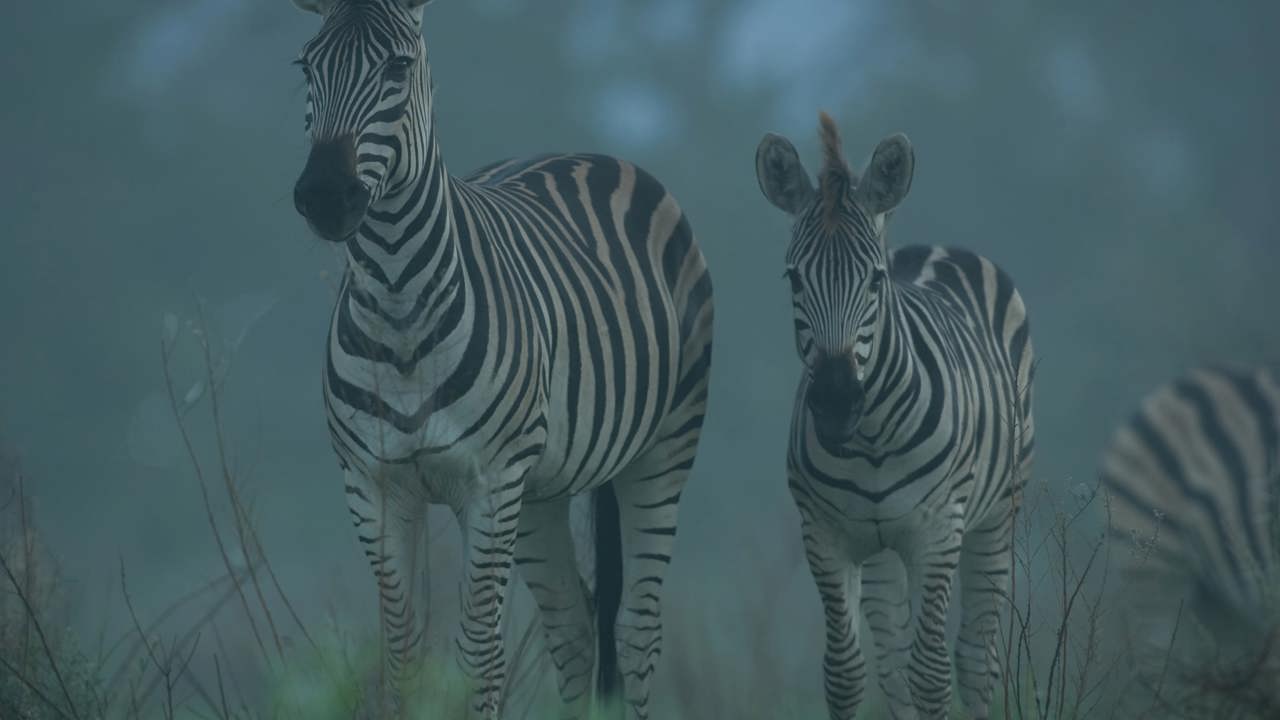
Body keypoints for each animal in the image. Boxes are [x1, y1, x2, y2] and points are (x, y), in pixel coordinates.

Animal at [287, 1, 714, 717]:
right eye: (305, 67)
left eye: (397, 67)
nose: (323, 195)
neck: (399, 309)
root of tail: (587, 152)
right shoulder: (372, 486)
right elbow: (402, 658)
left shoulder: (488, 483)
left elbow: (477, 658)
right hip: (541, 487)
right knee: (574, 628)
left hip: (661, 449)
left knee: (635, 632)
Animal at [755, 113, 1036, 720]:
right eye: (793, 279)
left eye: (875, 280)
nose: (836, 401)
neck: (871, 440)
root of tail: (938, 246)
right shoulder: (827, 535)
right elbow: (848, 672)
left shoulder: (938, 531)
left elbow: (930, 675)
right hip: (880, 549)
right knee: (891, 660)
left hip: (998, 514)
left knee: (976, 659)